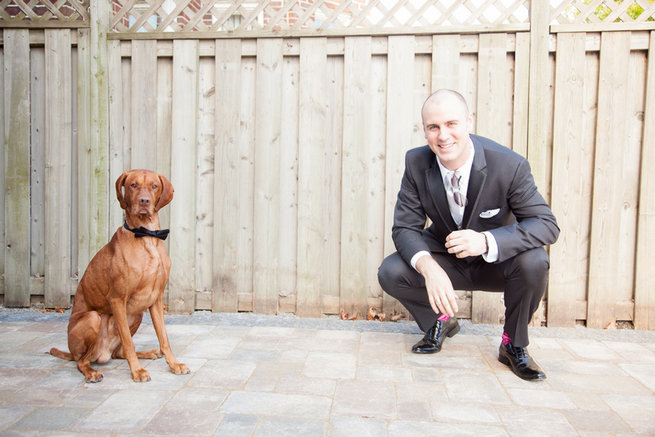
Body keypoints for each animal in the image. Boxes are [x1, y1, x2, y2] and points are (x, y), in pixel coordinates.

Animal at [50, 169, 190, 380]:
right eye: (133, 185)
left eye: (154, 186)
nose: (144, 201)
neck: (146, 236)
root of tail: (102, 353)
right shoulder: (117, 299)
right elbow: (128, 341)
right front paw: (137, 371)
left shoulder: (155, 299)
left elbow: (164, 338)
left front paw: (174, 364)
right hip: (93, 319)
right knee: (82, 361)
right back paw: (92, 372)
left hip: (137, 313)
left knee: (118, 353)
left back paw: (148, 353)